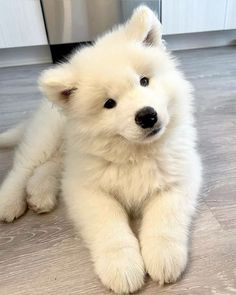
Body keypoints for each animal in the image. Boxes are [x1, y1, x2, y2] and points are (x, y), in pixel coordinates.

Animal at [0, 5, 201, 294]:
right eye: (109, 103)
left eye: (144, 81)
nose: (147, 116)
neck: (134, 154)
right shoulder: (88, 190)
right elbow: (110, 226)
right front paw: (122, 268)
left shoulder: (180, 176)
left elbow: (165, 217)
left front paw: (163, 256)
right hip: (46, 136)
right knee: (22, 168)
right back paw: (9, 202)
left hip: (68, 155)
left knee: (52, 167)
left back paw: (40, 194)